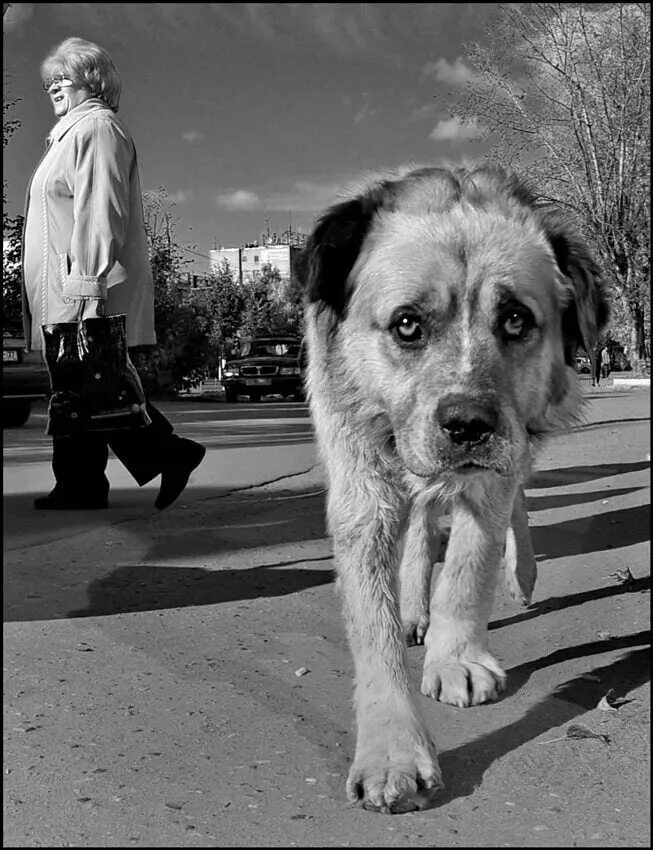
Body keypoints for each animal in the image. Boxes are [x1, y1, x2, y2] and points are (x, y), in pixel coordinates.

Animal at [294, 164, 608, 808]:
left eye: (515, 319)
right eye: (407, 324)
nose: (467, 426)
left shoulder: (490, 479)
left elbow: (467, 569)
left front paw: (456, 656)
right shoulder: (362, 494)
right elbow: (374, 625)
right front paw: (391, 750)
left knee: (512, 505)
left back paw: (520, 574)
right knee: (419, 526)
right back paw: (416, 608)